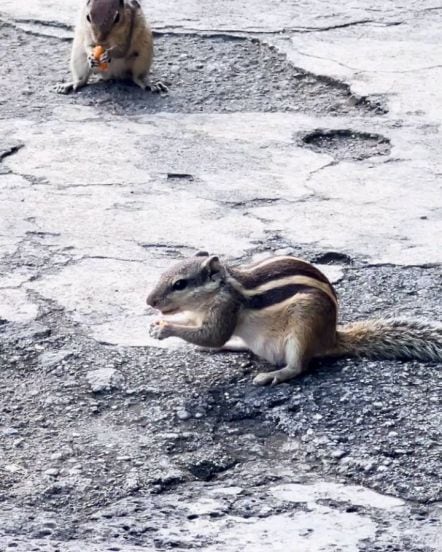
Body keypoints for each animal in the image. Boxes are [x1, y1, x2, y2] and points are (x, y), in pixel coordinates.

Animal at [146, 252, 442, 386]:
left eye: (180, 284)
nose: (150, 302)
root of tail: (330, 338)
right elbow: (201, 331)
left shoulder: (225, 309)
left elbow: (214, 334)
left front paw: (165, 328)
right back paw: (233, 347)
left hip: (303, 327)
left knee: (298, 367)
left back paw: (273, 375)